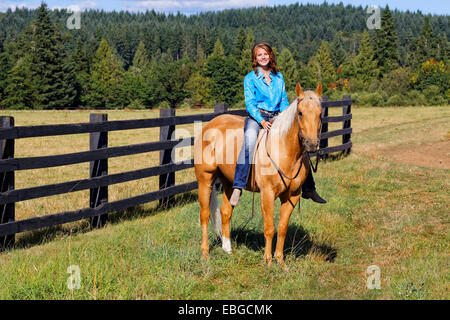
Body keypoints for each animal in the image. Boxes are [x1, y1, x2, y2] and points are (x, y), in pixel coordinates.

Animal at [193, 82, 324, 268]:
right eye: (300, 113)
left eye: (320, 114)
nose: (312, 144)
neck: (284, 151)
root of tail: (209, 125)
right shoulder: (267, 194)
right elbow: (269, 228)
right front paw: (268, 261)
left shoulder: (292, 196)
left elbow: (282, 228)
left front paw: (281, 262)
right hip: (205, 179)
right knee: (205, 215)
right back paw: (205, 254)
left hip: (229, 183)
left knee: (226, 211)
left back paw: (228, 250)